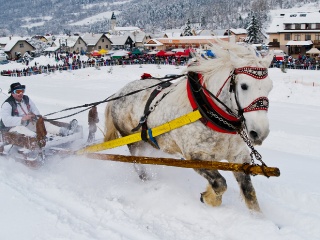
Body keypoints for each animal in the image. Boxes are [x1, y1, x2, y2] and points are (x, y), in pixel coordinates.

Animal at [104, 41, 272, 212]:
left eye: (270, 87)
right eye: (244, 86)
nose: (260, 132)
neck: (207, 112)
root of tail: (118, 94)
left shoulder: (238, 156)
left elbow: (249, 193)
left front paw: (257, 217)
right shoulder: (195, 156)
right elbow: (220, 184)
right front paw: (209, 197)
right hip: (132, 142)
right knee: (138, 165)